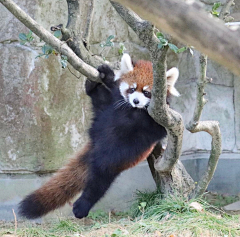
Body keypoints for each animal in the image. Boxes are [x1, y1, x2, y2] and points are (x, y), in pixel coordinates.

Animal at [19, 53, 180, 218]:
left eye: (147, 92)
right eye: (132, 89)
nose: (136, 101)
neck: (134, 111)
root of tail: (97, 145)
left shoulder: (159, 120)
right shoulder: (116, 103)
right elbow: (114, 91)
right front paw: (107, 75)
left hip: (118, 157)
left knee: (100, 180)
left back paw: (82, 207)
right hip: (100, 121)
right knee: (100, 102)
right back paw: (91, 87)